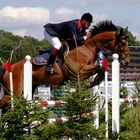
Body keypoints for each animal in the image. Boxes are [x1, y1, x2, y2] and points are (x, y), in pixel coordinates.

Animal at [0, 20, 130, 109]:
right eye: (123, 43)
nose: (127, 61)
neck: (88, 47)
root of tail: (8, 69)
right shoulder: (79, 72)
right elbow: (100, 68)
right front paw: (91, 83)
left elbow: (100, 69)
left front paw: (93, 82)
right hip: (14, 92)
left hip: (27, 88)